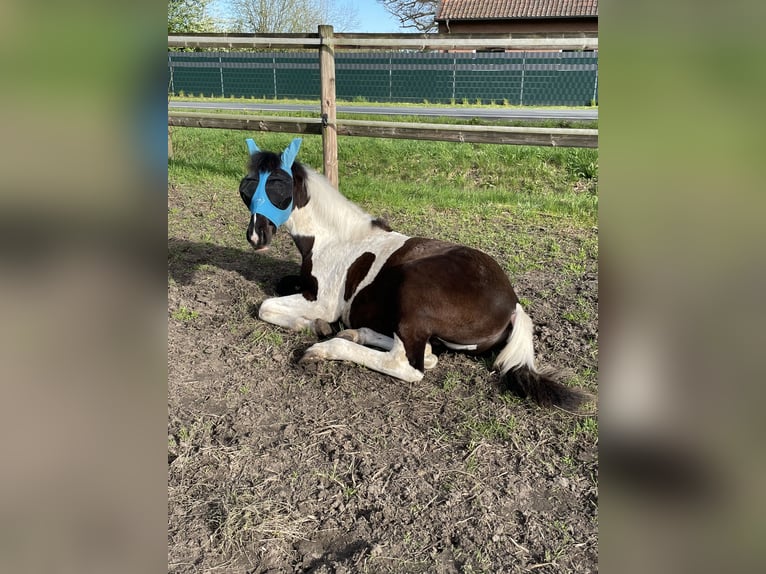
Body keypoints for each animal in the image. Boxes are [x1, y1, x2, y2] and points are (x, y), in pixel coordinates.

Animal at [240, 137, 592, 412]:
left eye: (279, 186)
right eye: (247, 187)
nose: (256, 237)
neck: (333, 239)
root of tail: (513, 305)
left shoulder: (323, 302)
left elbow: (265, 307)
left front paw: (311, 326)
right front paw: (316, 325)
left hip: (412, 287)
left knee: (408, 363)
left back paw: (325, 347)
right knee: (420, 350)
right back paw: (355, 333)